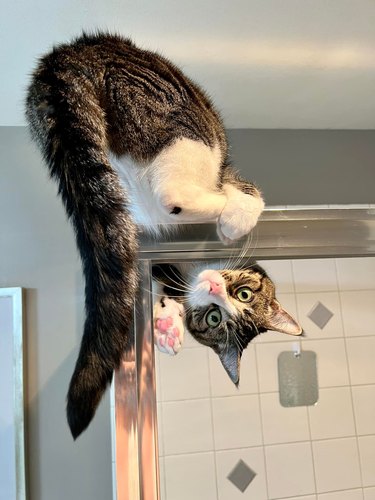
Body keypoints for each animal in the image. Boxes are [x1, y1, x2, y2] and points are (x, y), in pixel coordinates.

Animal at [25, 31, 264, 438]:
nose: (213, 286)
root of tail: (67, 55)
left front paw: (168, 323)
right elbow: (252, 195)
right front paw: (237, 216)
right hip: (183, 124)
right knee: (174, 192)